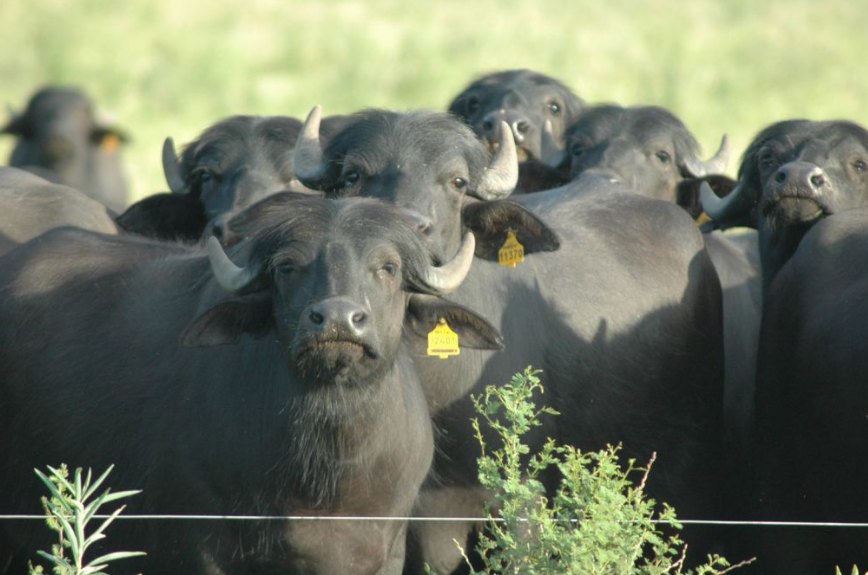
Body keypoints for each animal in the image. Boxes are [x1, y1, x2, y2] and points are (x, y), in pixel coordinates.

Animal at [0, 193, 505, 575]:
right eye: (287, 267)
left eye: (388, 267)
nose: (337, 319)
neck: (328, 474)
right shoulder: (201, 545)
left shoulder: (387, 548)